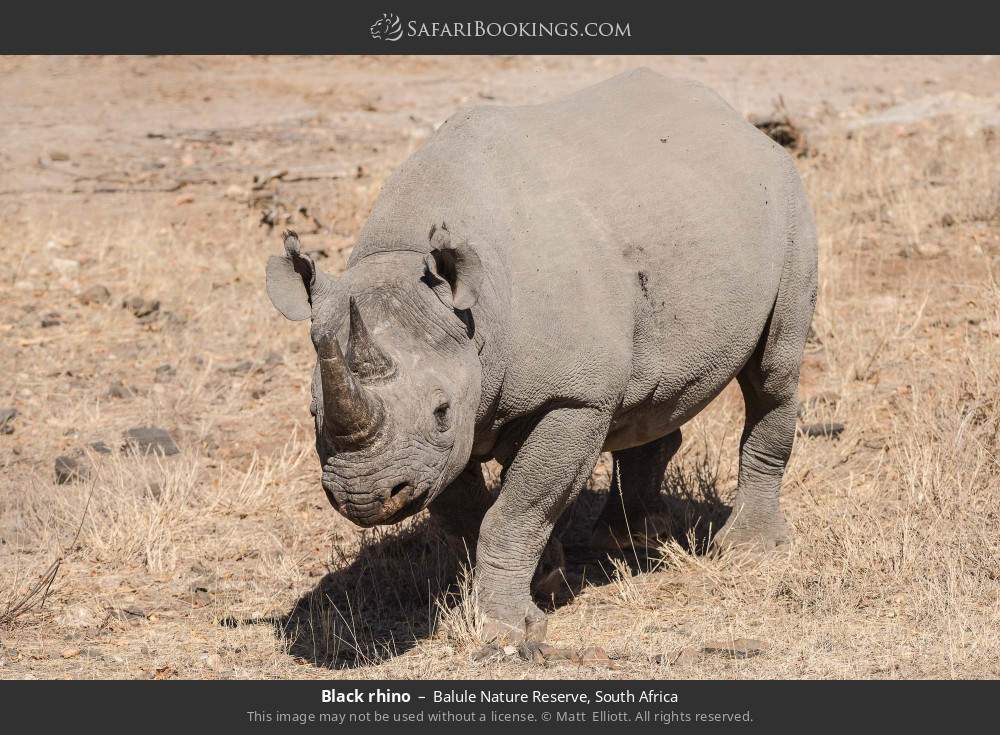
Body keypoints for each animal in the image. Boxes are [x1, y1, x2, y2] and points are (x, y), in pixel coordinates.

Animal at [265, 68, 817, 643]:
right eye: (313, 413)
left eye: (440, 412)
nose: (365, 498)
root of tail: (735, 119)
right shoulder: (456, 422)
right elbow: (467, 512)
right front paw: (543, 579)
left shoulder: (572, 399)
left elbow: (515, 510)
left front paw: (509, 632)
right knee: (651, 391)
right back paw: (629, 541)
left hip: (788, 201)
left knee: (773, 373)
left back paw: (749, 551)